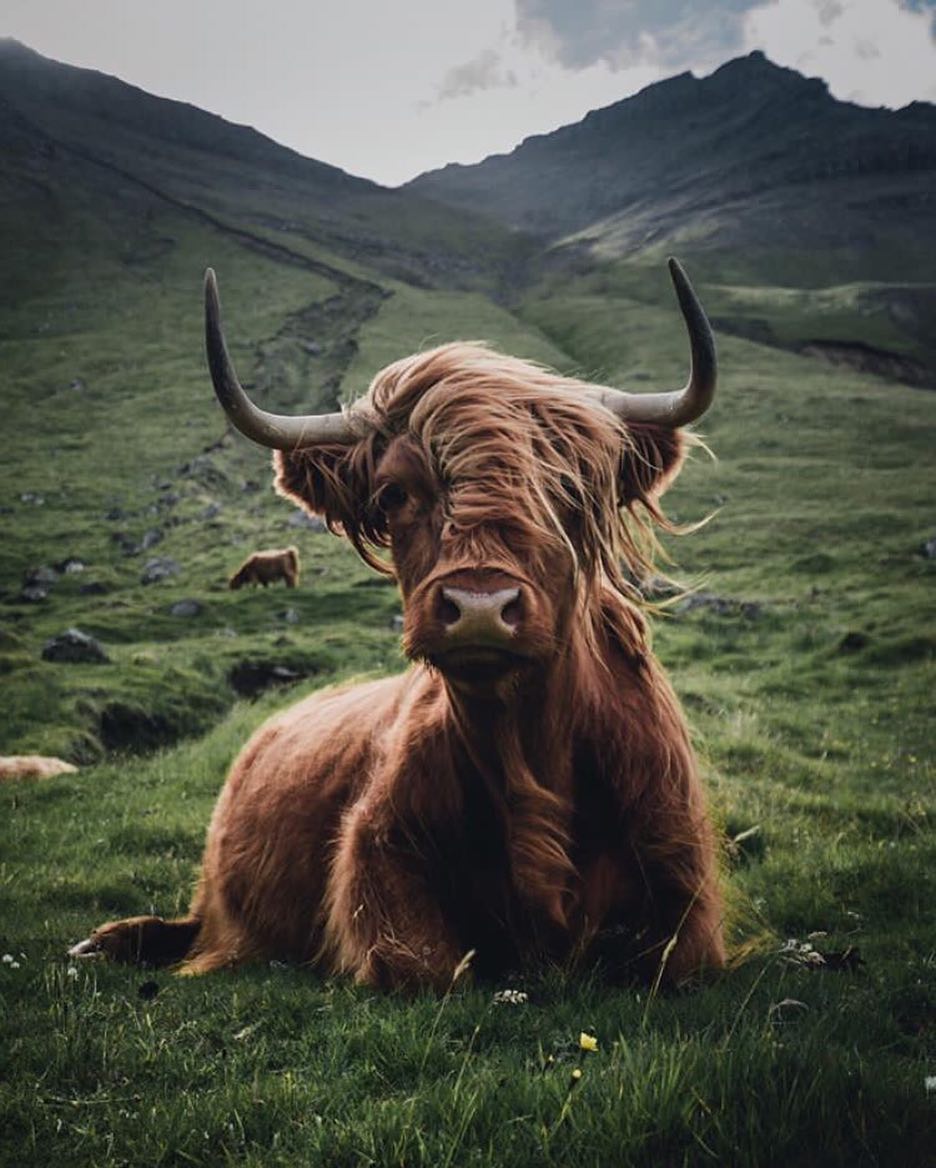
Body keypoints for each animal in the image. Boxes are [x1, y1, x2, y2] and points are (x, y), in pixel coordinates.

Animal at [69, 259, 726, 990]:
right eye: (393, 494)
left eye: (568, 492)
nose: (479, 607)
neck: (528, 754)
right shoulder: (376, 860)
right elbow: (429, 966)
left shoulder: (682, 892)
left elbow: (666, 961)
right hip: (215, 893)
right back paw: (106, 941)